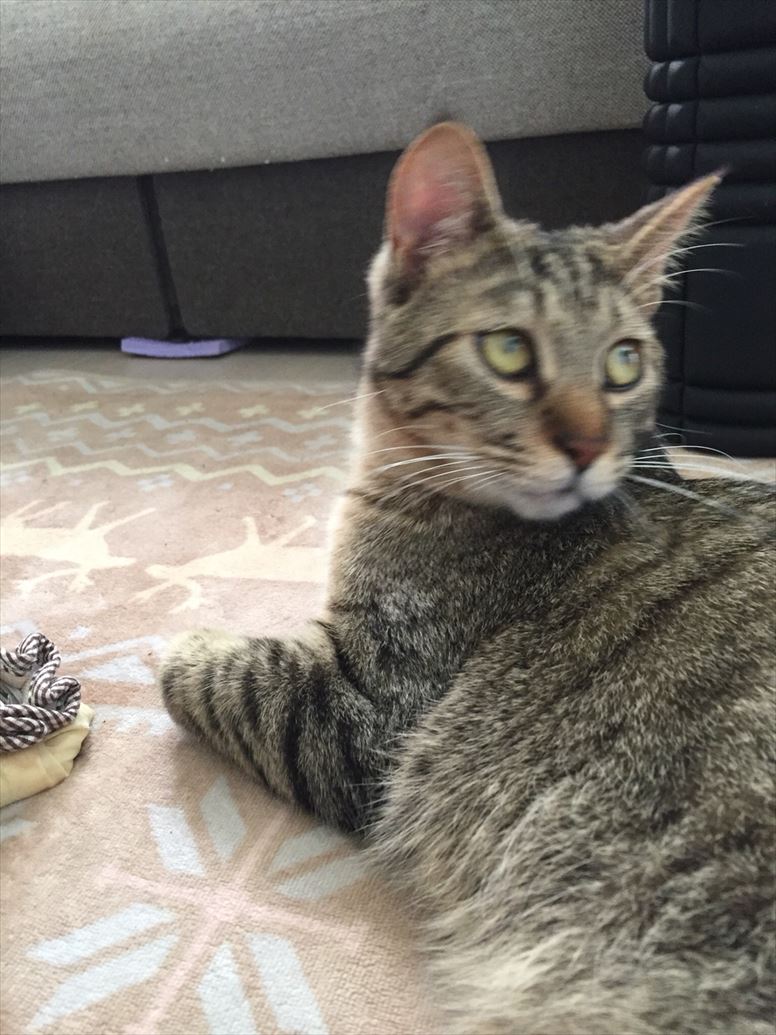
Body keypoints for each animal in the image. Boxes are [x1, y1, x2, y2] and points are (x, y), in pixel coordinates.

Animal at [160, 123, 775, 1035]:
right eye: (509, 349)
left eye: (623, 363)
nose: (589, 446)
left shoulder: (363, 712)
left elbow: (214, 673)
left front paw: (183, 637)